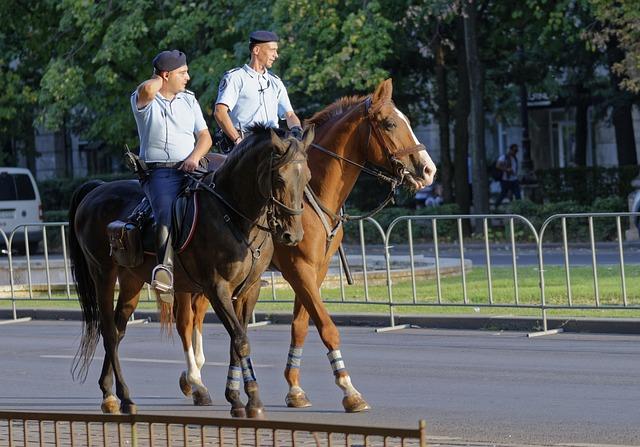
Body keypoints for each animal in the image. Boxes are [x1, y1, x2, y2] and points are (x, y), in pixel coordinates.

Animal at [67, 128, 312, 418]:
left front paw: (241, 398)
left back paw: (109, 394)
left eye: (307, 177)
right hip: (102, 273)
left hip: (131, 281)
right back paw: (125, 397)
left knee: (118, 329)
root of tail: (97, 188)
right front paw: (247, 399)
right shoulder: (217, 289)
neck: (232, 214)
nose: (292, 235)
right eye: (279, 177)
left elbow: (237, 340)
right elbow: (240, 340)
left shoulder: (248, 290)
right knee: (109, 332)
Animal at [176, 79, 436, 412]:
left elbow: (301, 325)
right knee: (186, 320)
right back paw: (195, 380)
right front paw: (349, 389)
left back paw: (193, 376)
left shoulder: (317, 270)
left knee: (195, 315)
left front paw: (295, 389)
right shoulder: (298, 270)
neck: (312, 194)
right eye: (390, 123)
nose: (428, 170)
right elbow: (326, 326)